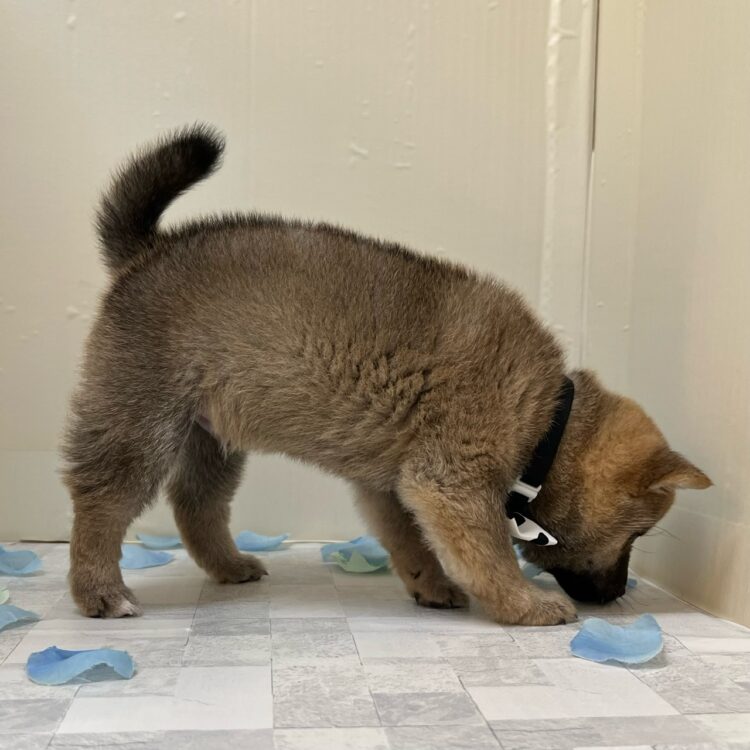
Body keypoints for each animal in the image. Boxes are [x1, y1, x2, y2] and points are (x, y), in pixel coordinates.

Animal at [62, 125, 711, 624]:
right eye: (635, 538)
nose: (619, 594)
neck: (549, 419)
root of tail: (148, 252)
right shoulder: (452, 483)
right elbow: (490, 556)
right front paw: (524, 605)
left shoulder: (394, 489)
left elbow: (413, 544)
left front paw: (434, 586)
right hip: (138, 428)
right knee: (100, 506)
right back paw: (101, 592)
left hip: (209, 440)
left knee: (196, 506)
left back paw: (228, 565)